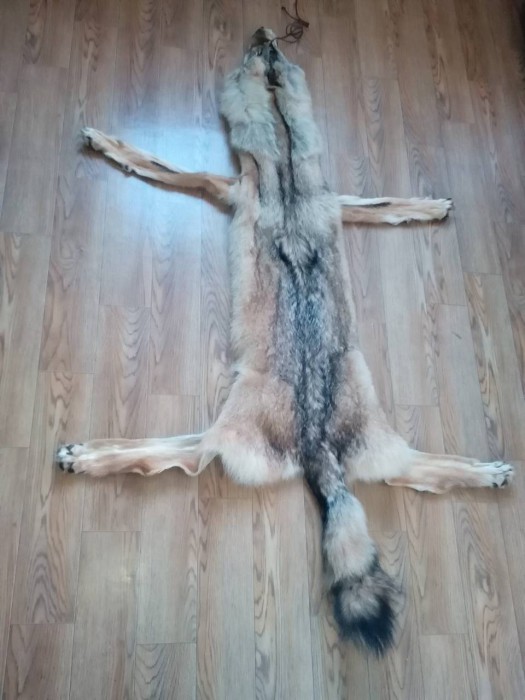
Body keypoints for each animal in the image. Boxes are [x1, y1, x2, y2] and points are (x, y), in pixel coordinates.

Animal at [57, 28, 513, 654]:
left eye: (264, 55)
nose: (264, 31)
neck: (289, 164)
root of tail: (318, 445)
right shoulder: (334, 200)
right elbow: (383, 204)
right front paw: (430, 205)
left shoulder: (222, 185)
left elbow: (156, 161)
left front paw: (108, 143)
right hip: (384, 451)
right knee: (423, 471)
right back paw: (488, 470)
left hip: (222, 431)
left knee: (172, 454)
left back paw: (86, 455)